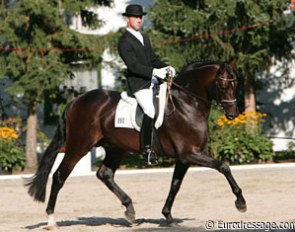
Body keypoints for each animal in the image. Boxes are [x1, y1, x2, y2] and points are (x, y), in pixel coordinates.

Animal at [25, 59, 247, 228]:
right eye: (223, 85)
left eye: (235, 84)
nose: (233, 114)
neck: (187, 103)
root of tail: (75, 101)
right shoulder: (189, 153)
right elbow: (223, 166)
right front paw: (240, 202)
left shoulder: (185, 158)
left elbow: (175, 185)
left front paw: (168, 216)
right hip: (78, 146)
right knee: (59, 176)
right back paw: (51, 220)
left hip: (115, 148)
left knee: (104, 174)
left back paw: (130, 210)